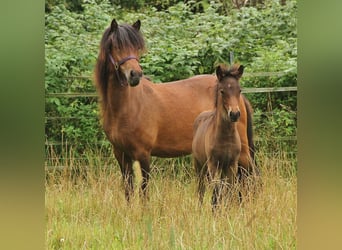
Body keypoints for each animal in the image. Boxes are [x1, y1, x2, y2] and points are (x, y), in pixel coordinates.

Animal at [194, 64, 244, 209]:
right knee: (201, 189)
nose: (234, 114)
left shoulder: (232, 164)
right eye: (222, 91)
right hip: (199, 165)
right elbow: (216, 192)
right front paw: (215, 210)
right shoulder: (213, 164)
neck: (226, 136)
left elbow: (229, 190)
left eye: (239, 90)